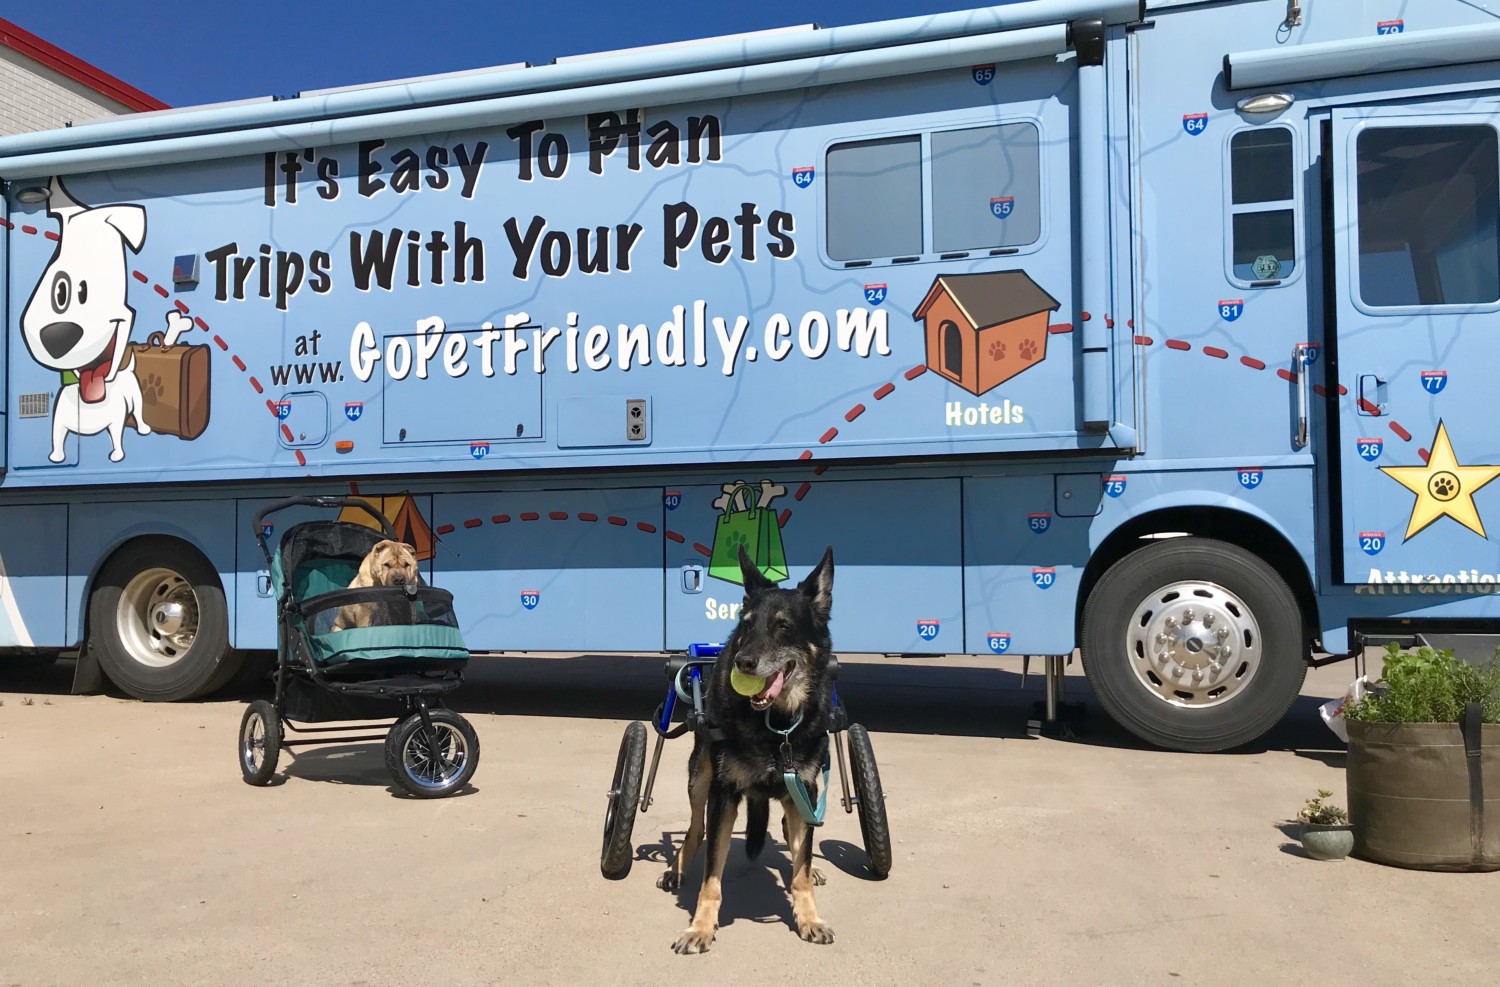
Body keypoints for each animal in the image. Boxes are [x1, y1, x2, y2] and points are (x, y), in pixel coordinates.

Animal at [663, 543, 840, 948]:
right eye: (746, 624)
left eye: (783, 626)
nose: (743, 662)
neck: (777, 726)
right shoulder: (724, 793)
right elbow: (712, 874)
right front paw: (701, 926)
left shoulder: (805, 788)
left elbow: (801, 867)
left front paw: (809, 917)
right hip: (700, 776)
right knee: (696, 828)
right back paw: (677, 866)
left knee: (794, 835)